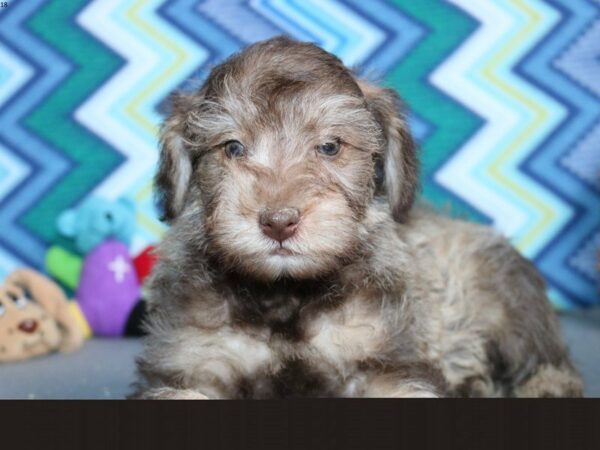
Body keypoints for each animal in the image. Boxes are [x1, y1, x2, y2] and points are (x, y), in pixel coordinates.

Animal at [134, 37, 584, 398]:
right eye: (232, 148)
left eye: (330, 146)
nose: (278, 222)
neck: (286, 295)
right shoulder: (193, 367)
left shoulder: (385, 362)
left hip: (507, 303)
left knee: (547, 363)